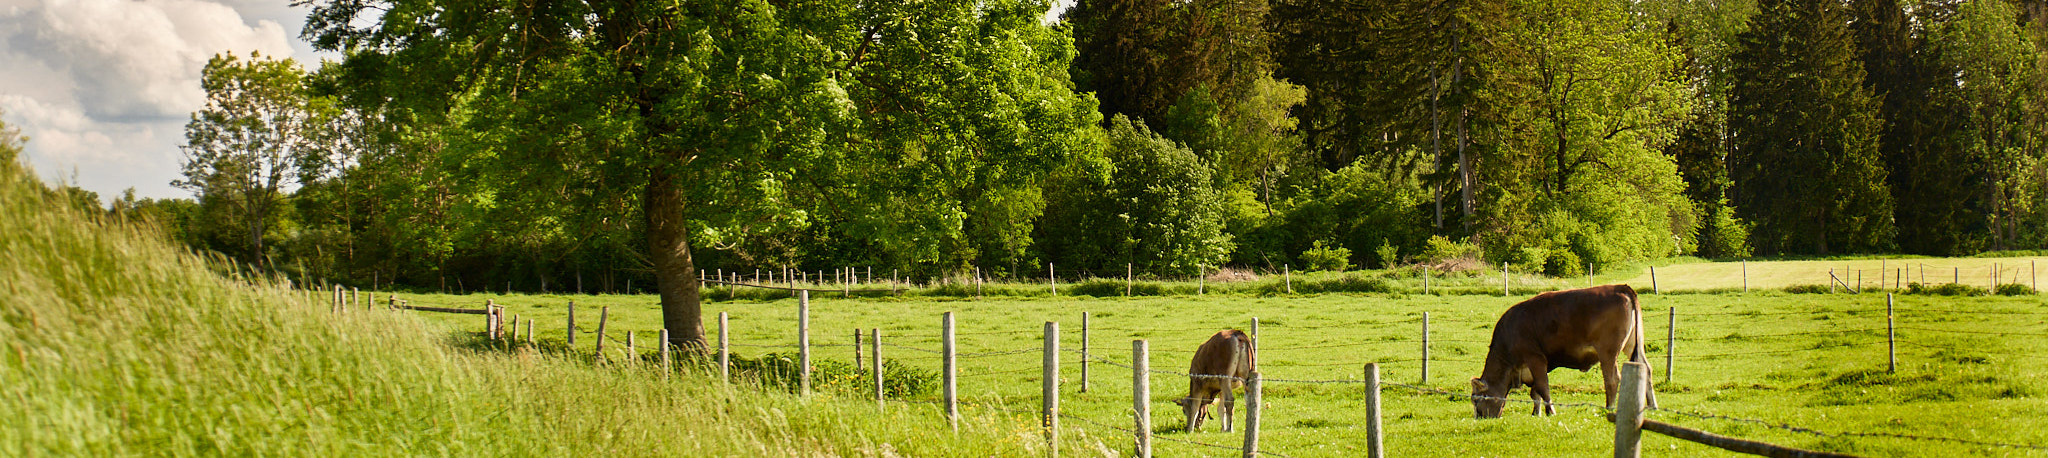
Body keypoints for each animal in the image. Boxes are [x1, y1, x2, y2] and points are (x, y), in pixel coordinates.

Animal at [1466, 284, 1654, 421]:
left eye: (1476, 399)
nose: (1479, 418)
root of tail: (1619, 287)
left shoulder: (1535, 358)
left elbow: (1543, 388)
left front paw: (1551, 411)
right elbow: (1535, 391)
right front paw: (1536, 413)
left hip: (1608, 352)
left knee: (1612, 379)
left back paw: (1609, 407)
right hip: (1632, 345)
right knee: (1646, 368)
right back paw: (1652, 405)